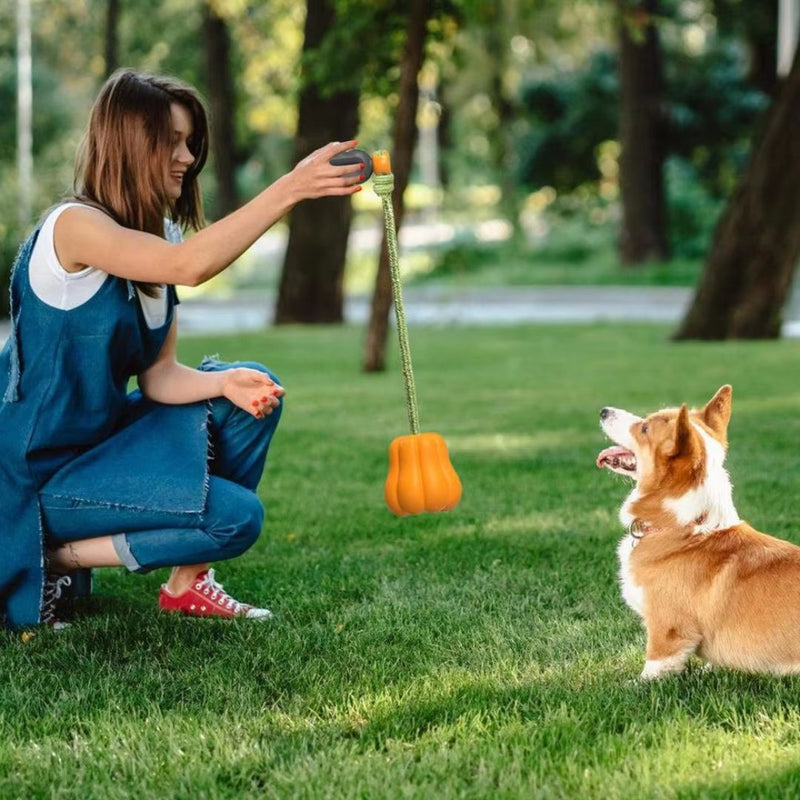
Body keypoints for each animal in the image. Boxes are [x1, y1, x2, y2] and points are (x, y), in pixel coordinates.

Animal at [596, 384, 800, 680]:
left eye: (644, 428)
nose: (603, 411)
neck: (685, 530)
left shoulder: (667, 631)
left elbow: (654, 666)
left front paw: (633, 684)